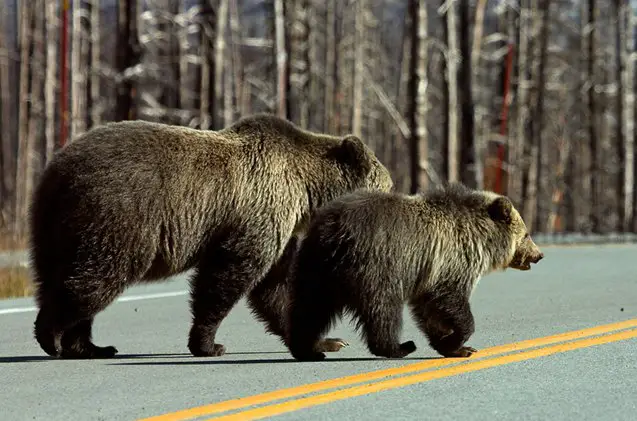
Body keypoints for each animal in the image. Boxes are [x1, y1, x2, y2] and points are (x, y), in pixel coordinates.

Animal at [29, 112, 392, 358]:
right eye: (389, 186)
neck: (307, 191)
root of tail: (56, 170)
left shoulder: (280, 227)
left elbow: (277, 287)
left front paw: (327, 340)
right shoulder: (259, 210)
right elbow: (227, 275)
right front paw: (209, 343)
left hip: (54, 228)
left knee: (61, 274)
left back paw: (90, 346)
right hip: (117, 215)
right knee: (95, 276)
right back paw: (52, 337)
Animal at [284, 184, 540, 360]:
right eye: (526, 234)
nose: (538, 255)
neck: (481, 239)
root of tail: (334, 229)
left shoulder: (429, 274)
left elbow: (429, 310)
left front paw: (451, 345)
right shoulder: (452, 263)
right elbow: (450, 300)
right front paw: (460, 341)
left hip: (317, 267)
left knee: (310, 308)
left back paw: (308, 349)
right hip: (376, 265)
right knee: (383, 309)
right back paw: (398, 346)